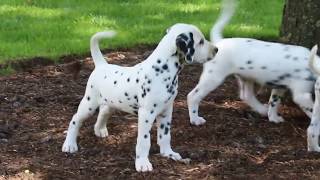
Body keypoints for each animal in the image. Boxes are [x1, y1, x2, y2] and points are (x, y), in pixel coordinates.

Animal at [61, 23, 219, 172]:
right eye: (201, 41)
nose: (216, 49)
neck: (162, 71)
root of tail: (101, 65)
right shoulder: (146, 114)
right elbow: (144, 141)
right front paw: (142, 163)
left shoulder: (166, 111)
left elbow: (165, 135)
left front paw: (168, 153)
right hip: (89, 104)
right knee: (75, 120)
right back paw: (69, 145)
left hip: (110, 104)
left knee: (103, 113)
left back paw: (99, 130)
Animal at [188, 0, 318, 125]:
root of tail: (219, 42)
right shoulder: (302, 95)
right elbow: (314, 111)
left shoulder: (279, 87)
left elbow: (273, 102)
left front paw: (273, 117)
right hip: (213, 77)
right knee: (192, 96)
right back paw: (195, 119)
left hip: (246, 77)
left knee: (246, 95)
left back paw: (262, 110)